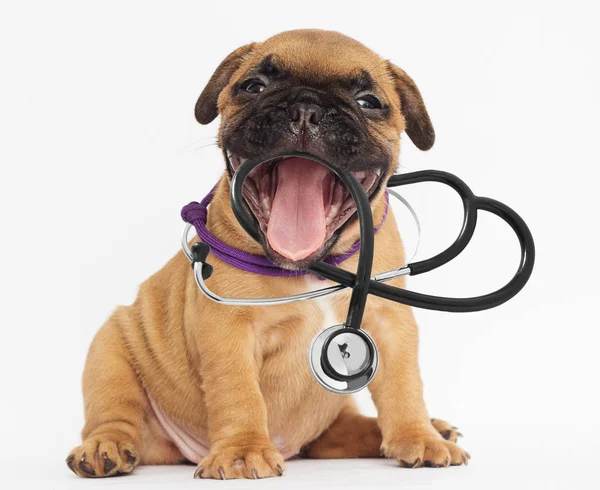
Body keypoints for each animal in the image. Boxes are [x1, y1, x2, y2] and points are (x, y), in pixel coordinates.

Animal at [65, 29, 468, 478]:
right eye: (253, 86)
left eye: (368, 101)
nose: (306, 108)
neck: (313, 267)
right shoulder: (228, 329)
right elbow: (239, 393)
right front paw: (243, 450)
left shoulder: (391, 324)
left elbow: (403, 385)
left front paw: (419, 435)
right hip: (110, 352)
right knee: (115, 411)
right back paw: (105, 447)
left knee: (342, 431)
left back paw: (430, 428)